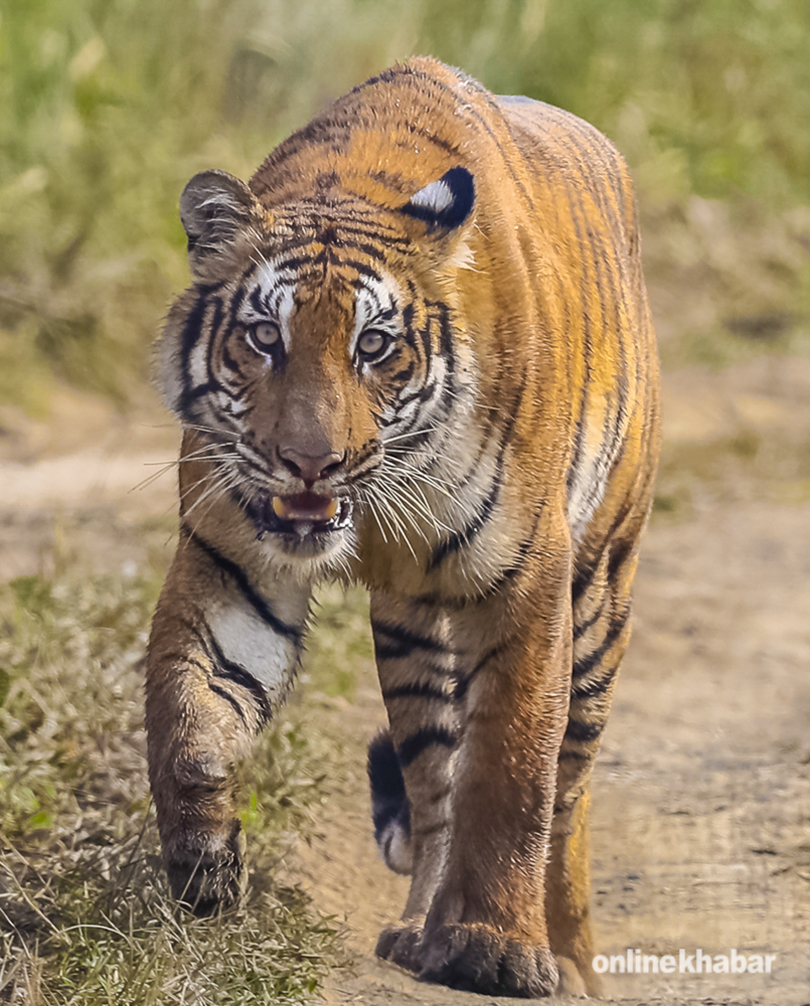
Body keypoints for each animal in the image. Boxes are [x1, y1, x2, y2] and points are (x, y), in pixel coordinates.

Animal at [143, 57, 656, 997]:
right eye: (264, 337)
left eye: (374, 347)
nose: (310, 462)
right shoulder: (230, 557)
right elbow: (188, 716)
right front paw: (204, 869)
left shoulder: (528, 583)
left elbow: (514, 770)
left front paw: (498, 950)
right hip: (413, 635)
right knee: (435, 782)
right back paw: (421, 932)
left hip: (602, 595)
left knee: (570, 790)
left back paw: (565, 957)